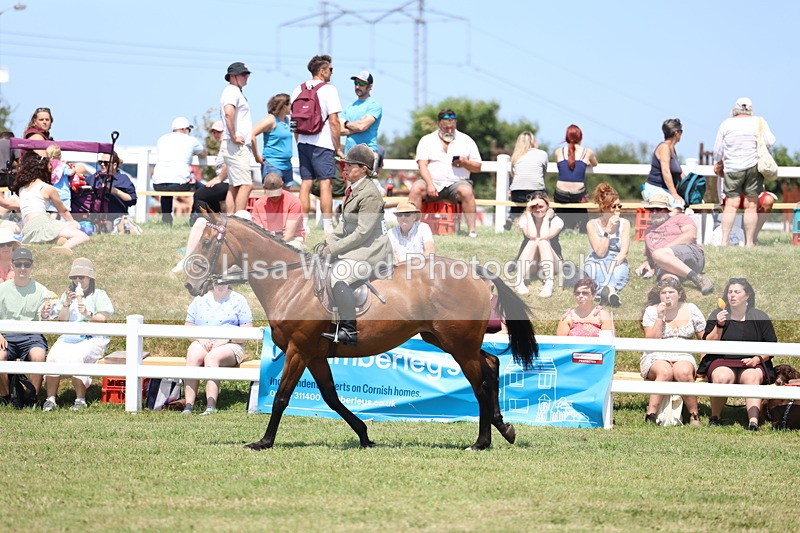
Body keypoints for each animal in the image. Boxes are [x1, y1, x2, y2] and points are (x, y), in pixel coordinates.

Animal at [183, 213, 538, 450]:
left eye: (207, 242)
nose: (191, 284)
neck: (290, 282)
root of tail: (476, 272)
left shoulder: (299, 349)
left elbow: (282, 397)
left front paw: (264, 441)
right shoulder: (315, 354)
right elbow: (331, 397)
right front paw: (365, 435)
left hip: (458, 345)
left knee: (480, 383)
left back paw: (481, 441)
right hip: (446, 340)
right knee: (491, 366)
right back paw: (503, 428)